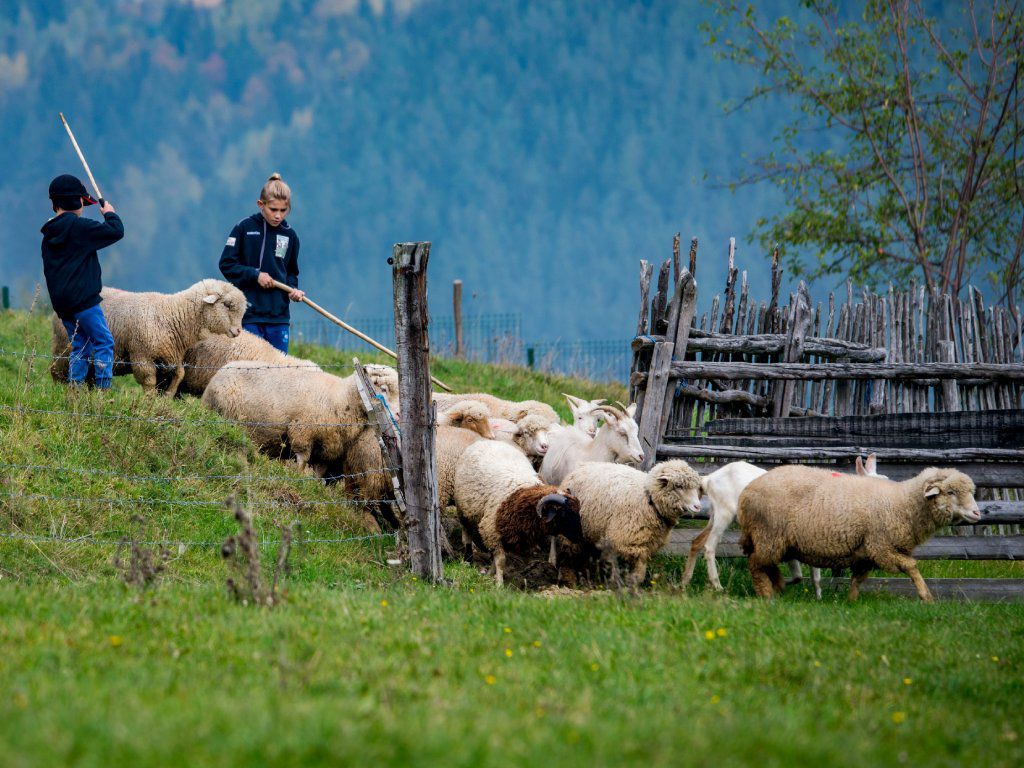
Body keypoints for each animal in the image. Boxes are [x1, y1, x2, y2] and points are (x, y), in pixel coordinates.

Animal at [50, 279, 246, 396]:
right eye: (227, 305)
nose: (238, 331)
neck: (172, 315)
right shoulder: (141, 355)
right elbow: (149, 380)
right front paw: (149, 401)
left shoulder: (171, 355)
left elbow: (179, 375)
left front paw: (166, 397)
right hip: (65, 347)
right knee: (58, 370)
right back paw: (61, 391)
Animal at [201, 360, 399, 474]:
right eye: (383, 388)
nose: (397, 414)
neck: (342, 398)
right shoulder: (302, 433)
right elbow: (302, 460)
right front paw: (297, 476)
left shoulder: (326, 448)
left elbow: (319, 473)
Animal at [558, 459, 702, 590]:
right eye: (678, 486)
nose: (698, 506)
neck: (648, 498)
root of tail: (580, 468)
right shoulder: (628, 541)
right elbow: (635, 571)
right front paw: (625, 586)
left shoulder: (645, 543)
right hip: (570, 531)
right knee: (568, 556)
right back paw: (571, 580)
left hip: (591, 531)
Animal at [680, 455, 887, 598]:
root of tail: (710, 478)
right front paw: (779, 585)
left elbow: (811, 575)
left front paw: (817, 597)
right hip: (725, 512)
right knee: (709, 546)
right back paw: (717, 585)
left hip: (714, 514)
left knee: (696, 542)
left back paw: (684, 582)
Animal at [737, 465, 980, 602]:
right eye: (951, 492)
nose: (977, 513)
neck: (903, 503)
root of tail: (746, 491)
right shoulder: (881, 546)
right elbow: (911, 566)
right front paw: (927, 597)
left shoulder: (866, 552)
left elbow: (858, 578)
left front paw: (851, 601)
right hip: (769, 534)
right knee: (756, 564)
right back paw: (767, 595)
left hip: (774, 540)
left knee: (765, 563)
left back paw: (777, 586)